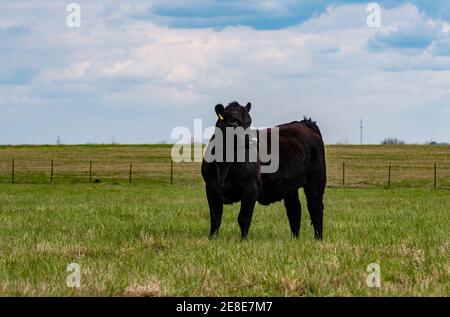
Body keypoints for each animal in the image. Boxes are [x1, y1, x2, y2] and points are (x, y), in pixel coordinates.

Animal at [202, 101, 326, 239]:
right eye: (234, 121)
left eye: (249, 122)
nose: (252, 141)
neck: (224, 164)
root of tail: (303, 123)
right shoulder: (211, 188)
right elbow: (215, 217)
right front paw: (212, 239)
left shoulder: (251, 188)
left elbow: (243, 217)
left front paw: (243, 240)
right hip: (290, 185)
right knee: (294, 209)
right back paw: (295, 238)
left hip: (316, 179)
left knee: (315, 207)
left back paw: (318, 239)